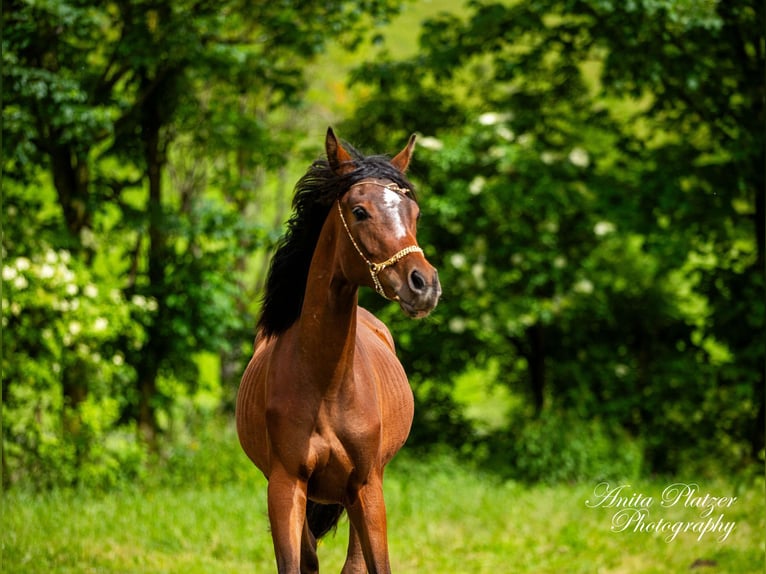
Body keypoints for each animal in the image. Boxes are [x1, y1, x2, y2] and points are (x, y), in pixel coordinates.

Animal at [238, 128, 444, 572]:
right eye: (360, 211)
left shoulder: (367, 487)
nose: (424, 284)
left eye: (414, 213)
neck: (326, 382)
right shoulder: (285, 487)